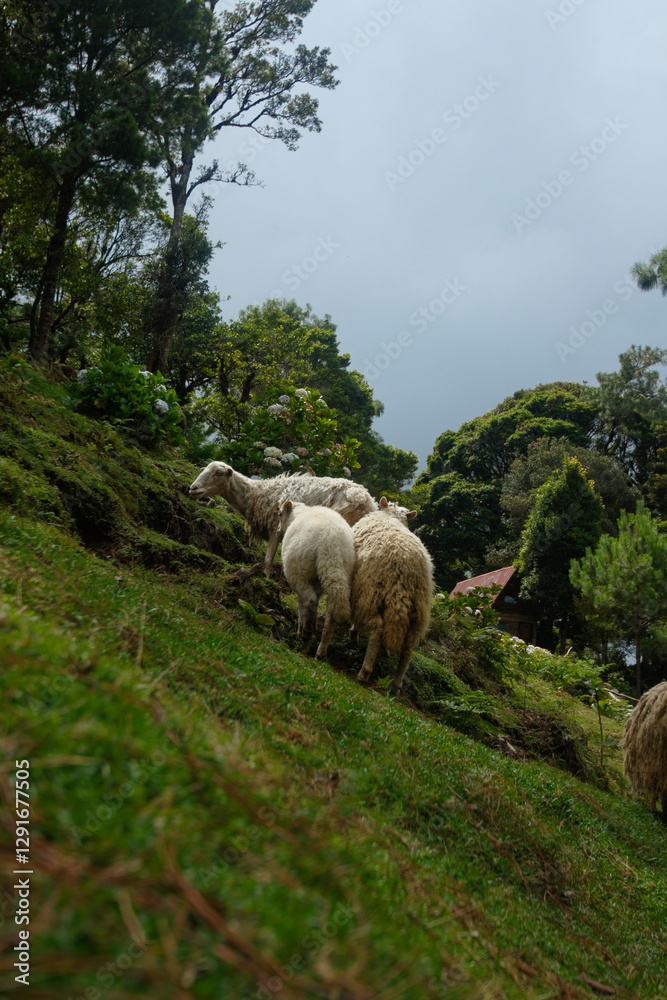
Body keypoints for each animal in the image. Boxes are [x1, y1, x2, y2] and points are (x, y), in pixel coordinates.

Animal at [189, 461, 377, 576]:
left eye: (218, 473)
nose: (193, 488)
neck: (256, 494)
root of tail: (366, 501)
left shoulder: (275, 528)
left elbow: (267, 561)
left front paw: (265, 578)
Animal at [278, 501, 355, 658]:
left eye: (280, 514)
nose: (277, 531)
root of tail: (330, 543)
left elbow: (302, 605)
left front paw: (302, 626)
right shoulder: (317, 584)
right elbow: (318, 601)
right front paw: (313, 624)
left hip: (300, 574)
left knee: (309, 600)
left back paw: (305, 633)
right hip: (340, 573)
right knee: (331, 615)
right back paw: (320, 651)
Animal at [351, 496, 434, 695]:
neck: (392, 517)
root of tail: (405, 565)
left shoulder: (359, 589)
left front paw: (354, 632)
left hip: (371, 591)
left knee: (378, 627)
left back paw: (364, 671)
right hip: (417, 607)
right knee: (409, 644)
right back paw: (396, 683)